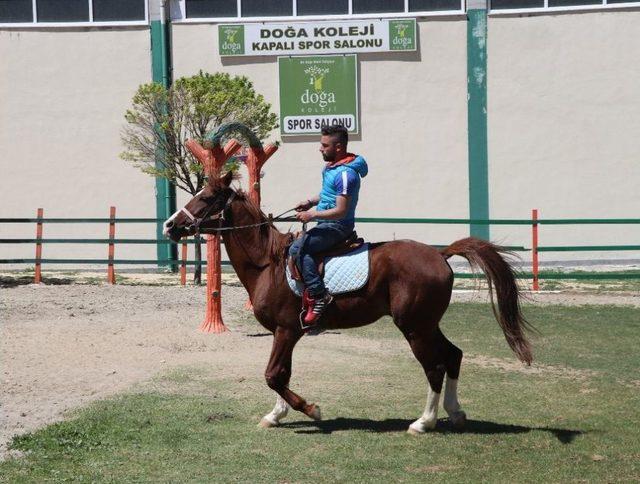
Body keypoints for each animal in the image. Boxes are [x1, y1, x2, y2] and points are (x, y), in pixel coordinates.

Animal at [162, 173, 532, 434]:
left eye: (205, 197)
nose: (169, 225)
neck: (268, 263)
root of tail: (439, 254)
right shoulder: (285, 333)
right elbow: (281, 374)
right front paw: (276, 414)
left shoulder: (286, 330)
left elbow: (273, 375)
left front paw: (311, 410)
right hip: (426, 324)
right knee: (453, 355)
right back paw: (455, 413)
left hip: (415, 327)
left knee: (435, 367)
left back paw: (423, 422)